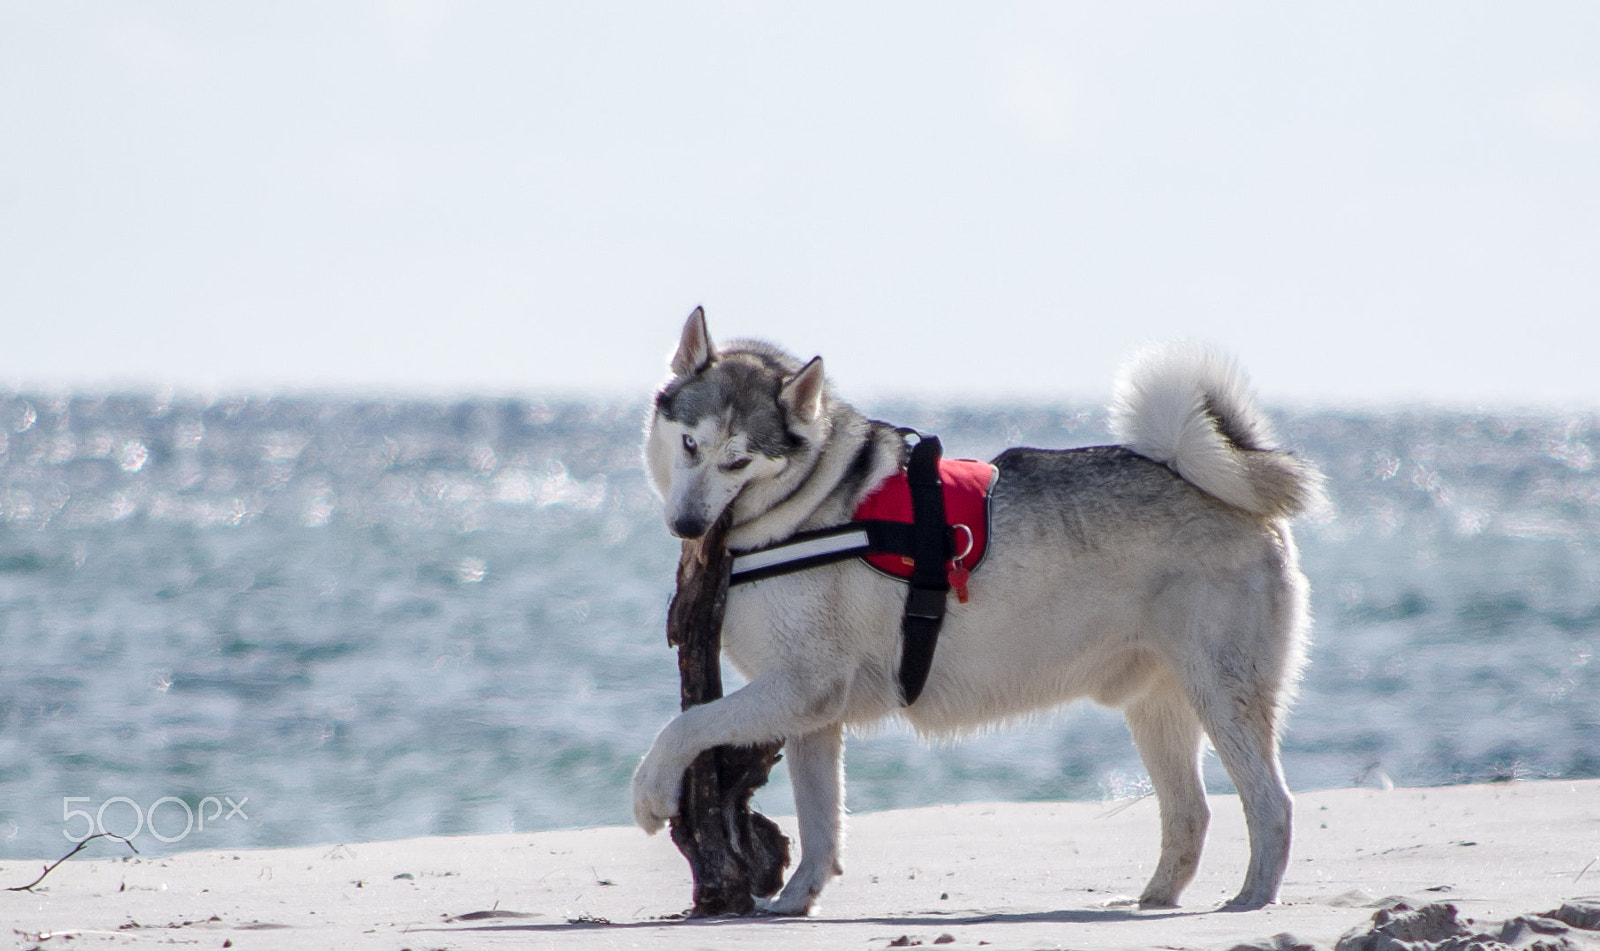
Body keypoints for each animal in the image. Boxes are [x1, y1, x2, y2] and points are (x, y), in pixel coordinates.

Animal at [630, 307, 1318, 915]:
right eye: (689, 444)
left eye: (738, 460)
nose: (685, 524)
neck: (807, 504)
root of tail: (1204, 476)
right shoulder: (811, 716)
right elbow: (821, 824)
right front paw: (799, 898)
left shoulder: (801, 688)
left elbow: (684, 727)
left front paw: (650, 793)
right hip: (1158, 707)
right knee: (1190, 812)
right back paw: (1154, 899)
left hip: (1222, 693)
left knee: (1272, 804)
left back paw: (1252, 898)